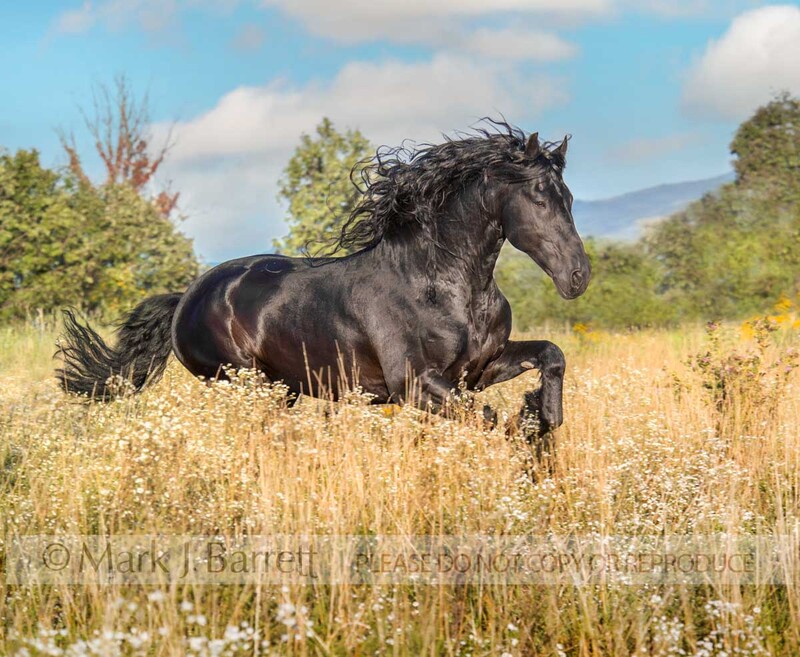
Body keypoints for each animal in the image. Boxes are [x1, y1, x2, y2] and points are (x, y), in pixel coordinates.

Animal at [57, 122, 591, 446]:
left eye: (568, 196)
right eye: (539, 196)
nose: (578, 276)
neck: (446, 286)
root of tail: (188, 296)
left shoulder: (477, 370)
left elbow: (551, 355)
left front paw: (546, 417)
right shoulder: (416, 385)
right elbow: (487, 419)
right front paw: (527, 435)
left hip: (281, 389)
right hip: (243, 385)